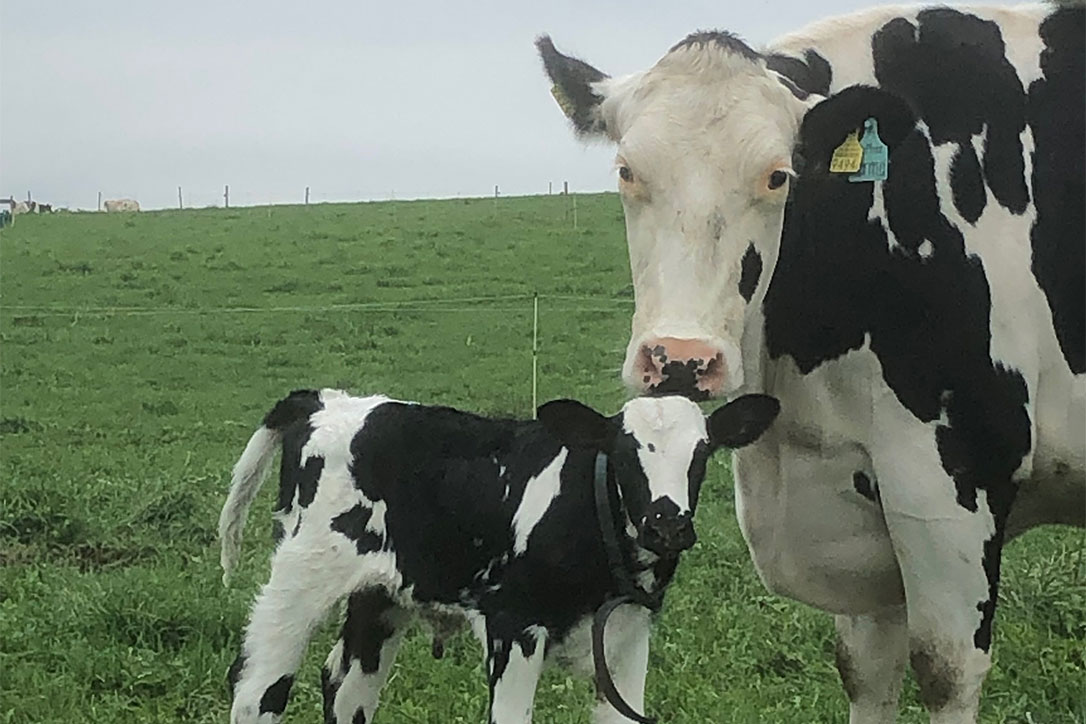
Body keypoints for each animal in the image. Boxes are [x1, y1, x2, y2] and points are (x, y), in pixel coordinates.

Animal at [222, 390, 781, 724]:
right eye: (623, 453)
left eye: (703, 453)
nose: (667, 525)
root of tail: (328, 400)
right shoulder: (513, 627)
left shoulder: (628, 633)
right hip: (298, 577)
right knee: (259, 688)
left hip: (378, 598)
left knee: (347, 688)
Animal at [538, 2, 1081, 720]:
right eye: (627, 171)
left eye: (777, 175)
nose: (681, 359)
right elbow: (865, 670)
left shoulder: (957, 475)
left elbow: (946, 669)